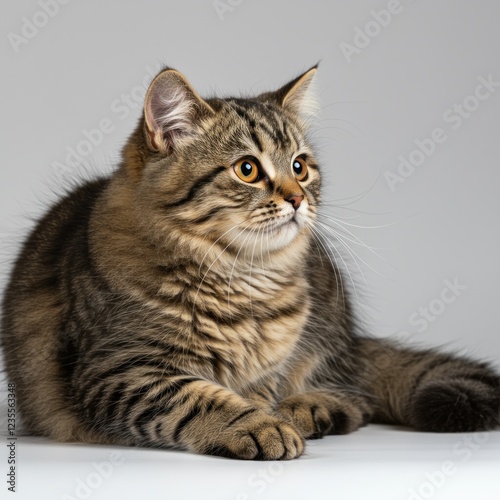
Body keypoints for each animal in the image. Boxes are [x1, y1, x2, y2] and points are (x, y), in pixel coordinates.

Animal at [2, 66, 500, 460]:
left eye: (300, 167)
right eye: (247, 169)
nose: (298, 199)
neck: (242, 279)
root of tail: (355, 340)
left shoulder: (262, 371)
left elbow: (250, 396)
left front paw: (273, 417)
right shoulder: (118, 368)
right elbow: (202, 398)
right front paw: (259, 427)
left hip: (330, 330)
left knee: (355, 397)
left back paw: (309, 409)